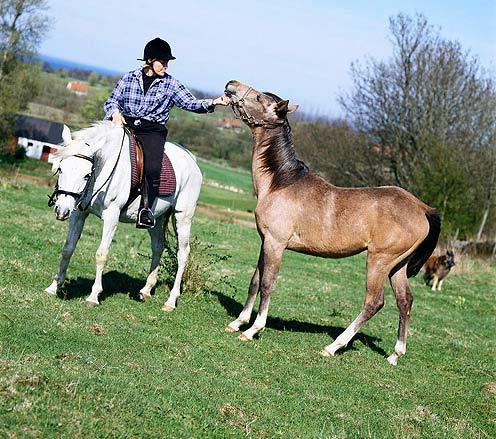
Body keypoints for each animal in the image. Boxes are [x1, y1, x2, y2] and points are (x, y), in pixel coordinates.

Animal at [44, 122, 202, 312]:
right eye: (61, 169)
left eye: (86, 175)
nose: (61, 211)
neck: (104, 169)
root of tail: (191, 159)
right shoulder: (79, 214)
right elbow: (68, 248)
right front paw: (54, 287)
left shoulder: (111, 216)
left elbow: (101, 255)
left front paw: (93, 296)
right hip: (156, 219)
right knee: (158, 247)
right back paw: (146, 290)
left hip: (183, 218)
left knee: (183, 254)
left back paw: (171, 301)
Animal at [223, 81, 440, 366]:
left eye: (259, 98)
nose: (231, 85)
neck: (281, 182)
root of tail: (423, 208)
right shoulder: (265, 242)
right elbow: (255, 281)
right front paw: (238, 322)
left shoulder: (276, 244)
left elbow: (268, 284)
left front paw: (252, 330)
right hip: (398, 266)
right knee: (405, 301)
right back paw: (395, 355)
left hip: (379, 261)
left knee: (374, 302)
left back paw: (333, 346)